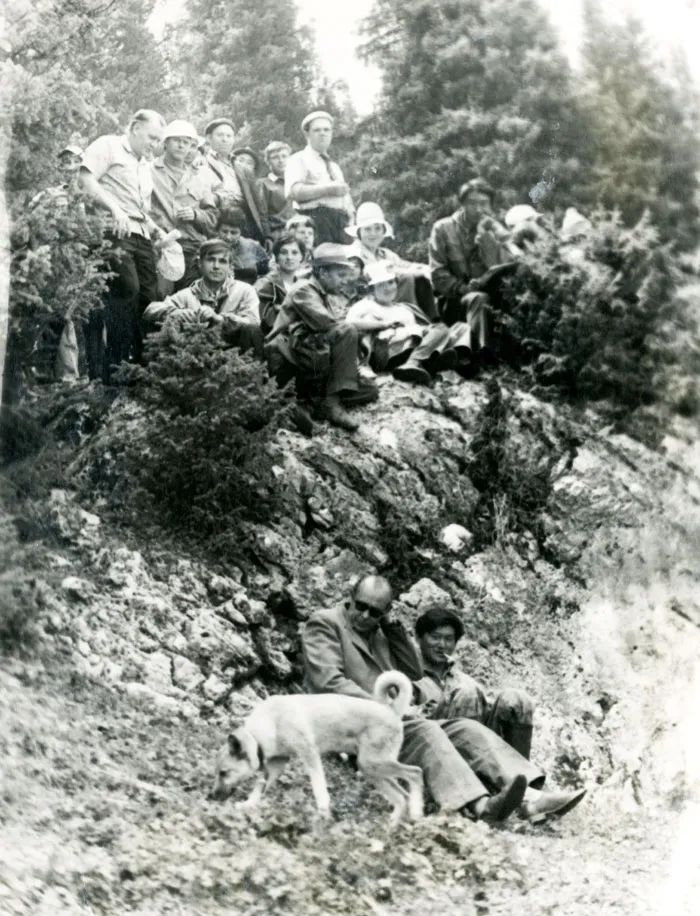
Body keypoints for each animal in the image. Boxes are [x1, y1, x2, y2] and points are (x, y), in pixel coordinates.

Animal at [211, 668, 424, 828]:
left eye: (223, 773)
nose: (210, 797)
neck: (270, 722)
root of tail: (392, 710)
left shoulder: (310, 754)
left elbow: (319, 788)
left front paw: (322, 814)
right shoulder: (277, 764)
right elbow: (260, 786)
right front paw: (248, 805)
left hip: (374, 764)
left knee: (415, 773)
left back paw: (415, 812)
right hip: (373, 770)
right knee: (401, 796)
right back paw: (392, 826)